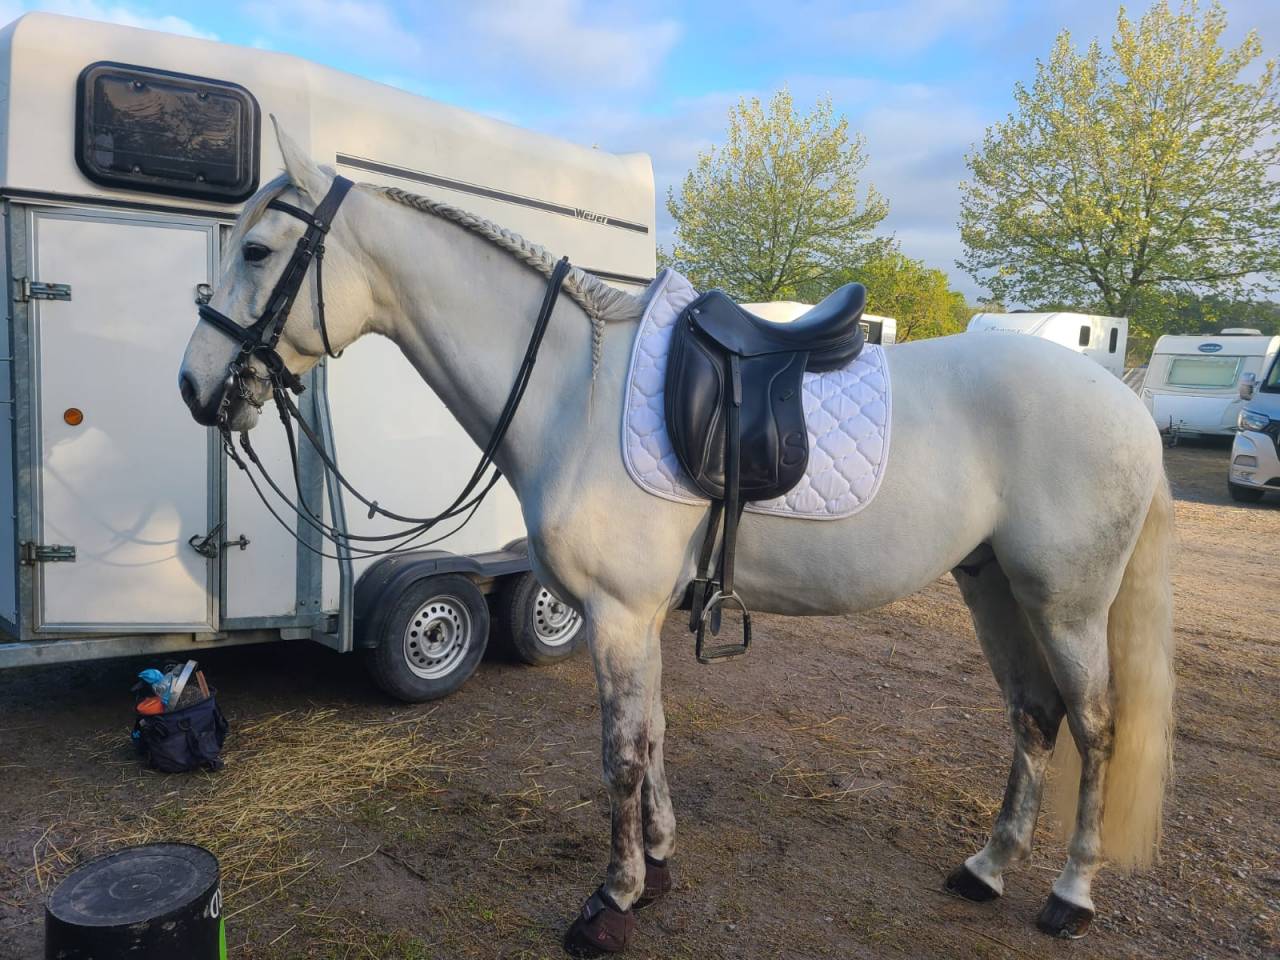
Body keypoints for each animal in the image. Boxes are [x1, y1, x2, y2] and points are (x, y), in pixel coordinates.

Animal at [178, 122, 1174, 954]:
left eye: (259, 250)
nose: (195, 388)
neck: (573, 389)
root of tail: (1123, 399)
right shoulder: (641, 616)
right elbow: (654, 736)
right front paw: (657, 864)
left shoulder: (618, 614)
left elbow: (620, 755)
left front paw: (611, 901)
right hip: (992, 585)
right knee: (1034, 717)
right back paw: (987, 869)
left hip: (1066, 604)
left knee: (1095, 726)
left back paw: (1069, 895)